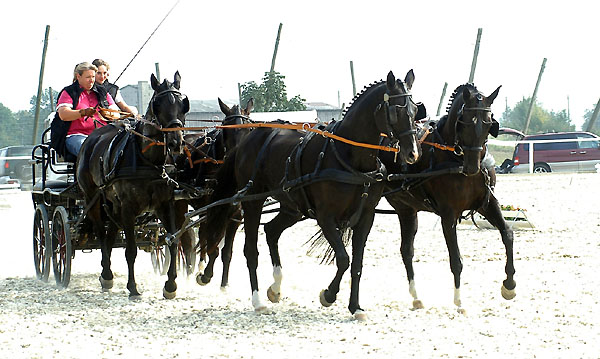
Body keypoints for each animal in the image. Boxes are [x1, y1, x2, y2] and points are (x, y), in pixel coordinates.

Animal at [77, 71, 190, 300]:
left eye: (183, 104)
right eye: (158, 104)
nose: (176, 142)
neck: (149, 161)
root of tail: (91, 138)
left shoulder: (166, 205)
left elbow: (172, 242)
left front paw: (170, 285)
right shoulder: (129, 208)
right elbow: (131, 250)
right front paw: (133, 287)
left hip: (112, 203)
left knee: (111, 232)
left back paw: (107, 274)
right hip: (93, 198)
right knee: (101, 233)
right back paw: (107, 274)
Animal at [206, 71, 422, 320]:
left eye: (415, 109)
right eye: (396, 110)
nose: (412, 153)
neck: (350, 159)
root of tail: (247, 141)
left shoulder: (366, 217)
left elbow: (357, 264)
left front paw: (355, 307)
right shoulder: (325, 217)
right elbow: (343, 259)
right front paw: (328, 295)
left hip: (292, 207)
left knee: (271, 231)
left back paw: (275, 287)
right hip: (253, 201)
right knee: (251, 249)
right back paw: (258, 300)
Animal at [382, 83, 512, 314]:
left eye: (489, 123)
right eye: (465, 122)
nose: (472, 167)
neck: (453, 157)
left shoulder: (487, 203)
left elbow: (507, 234)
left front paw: (509, 285)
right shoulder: (448, 214)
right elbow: (456, 259)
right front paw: (459, 300)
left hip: (406, 209)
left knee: (406, 251)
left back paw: (416, 297)